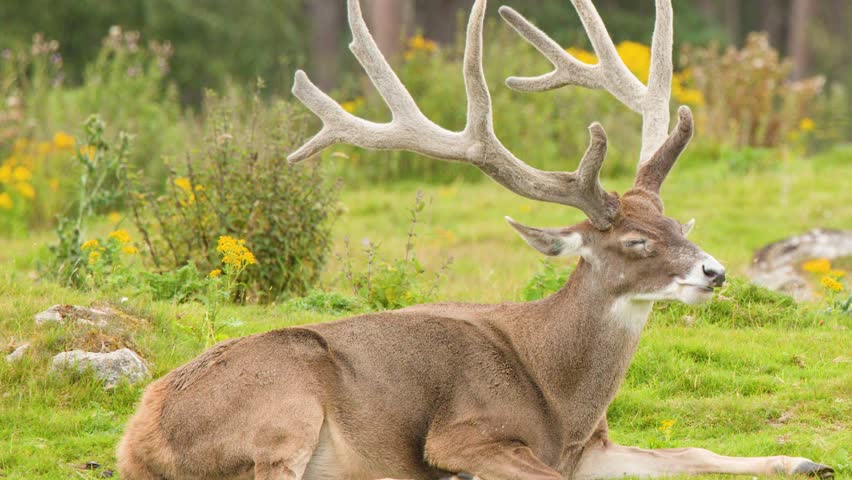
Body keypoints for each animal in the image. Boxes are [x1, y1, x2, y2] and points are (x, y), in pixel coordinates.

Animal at [117, 0, 836, 479]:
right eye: (634, 242)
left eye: (675, 225)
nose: (715, 272)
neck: (563, 404)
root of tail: (136, 437)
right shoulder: (461, 433)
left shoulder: (596, 448)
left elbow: (693, 450)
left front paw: (801, 459)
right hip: (283, 407)